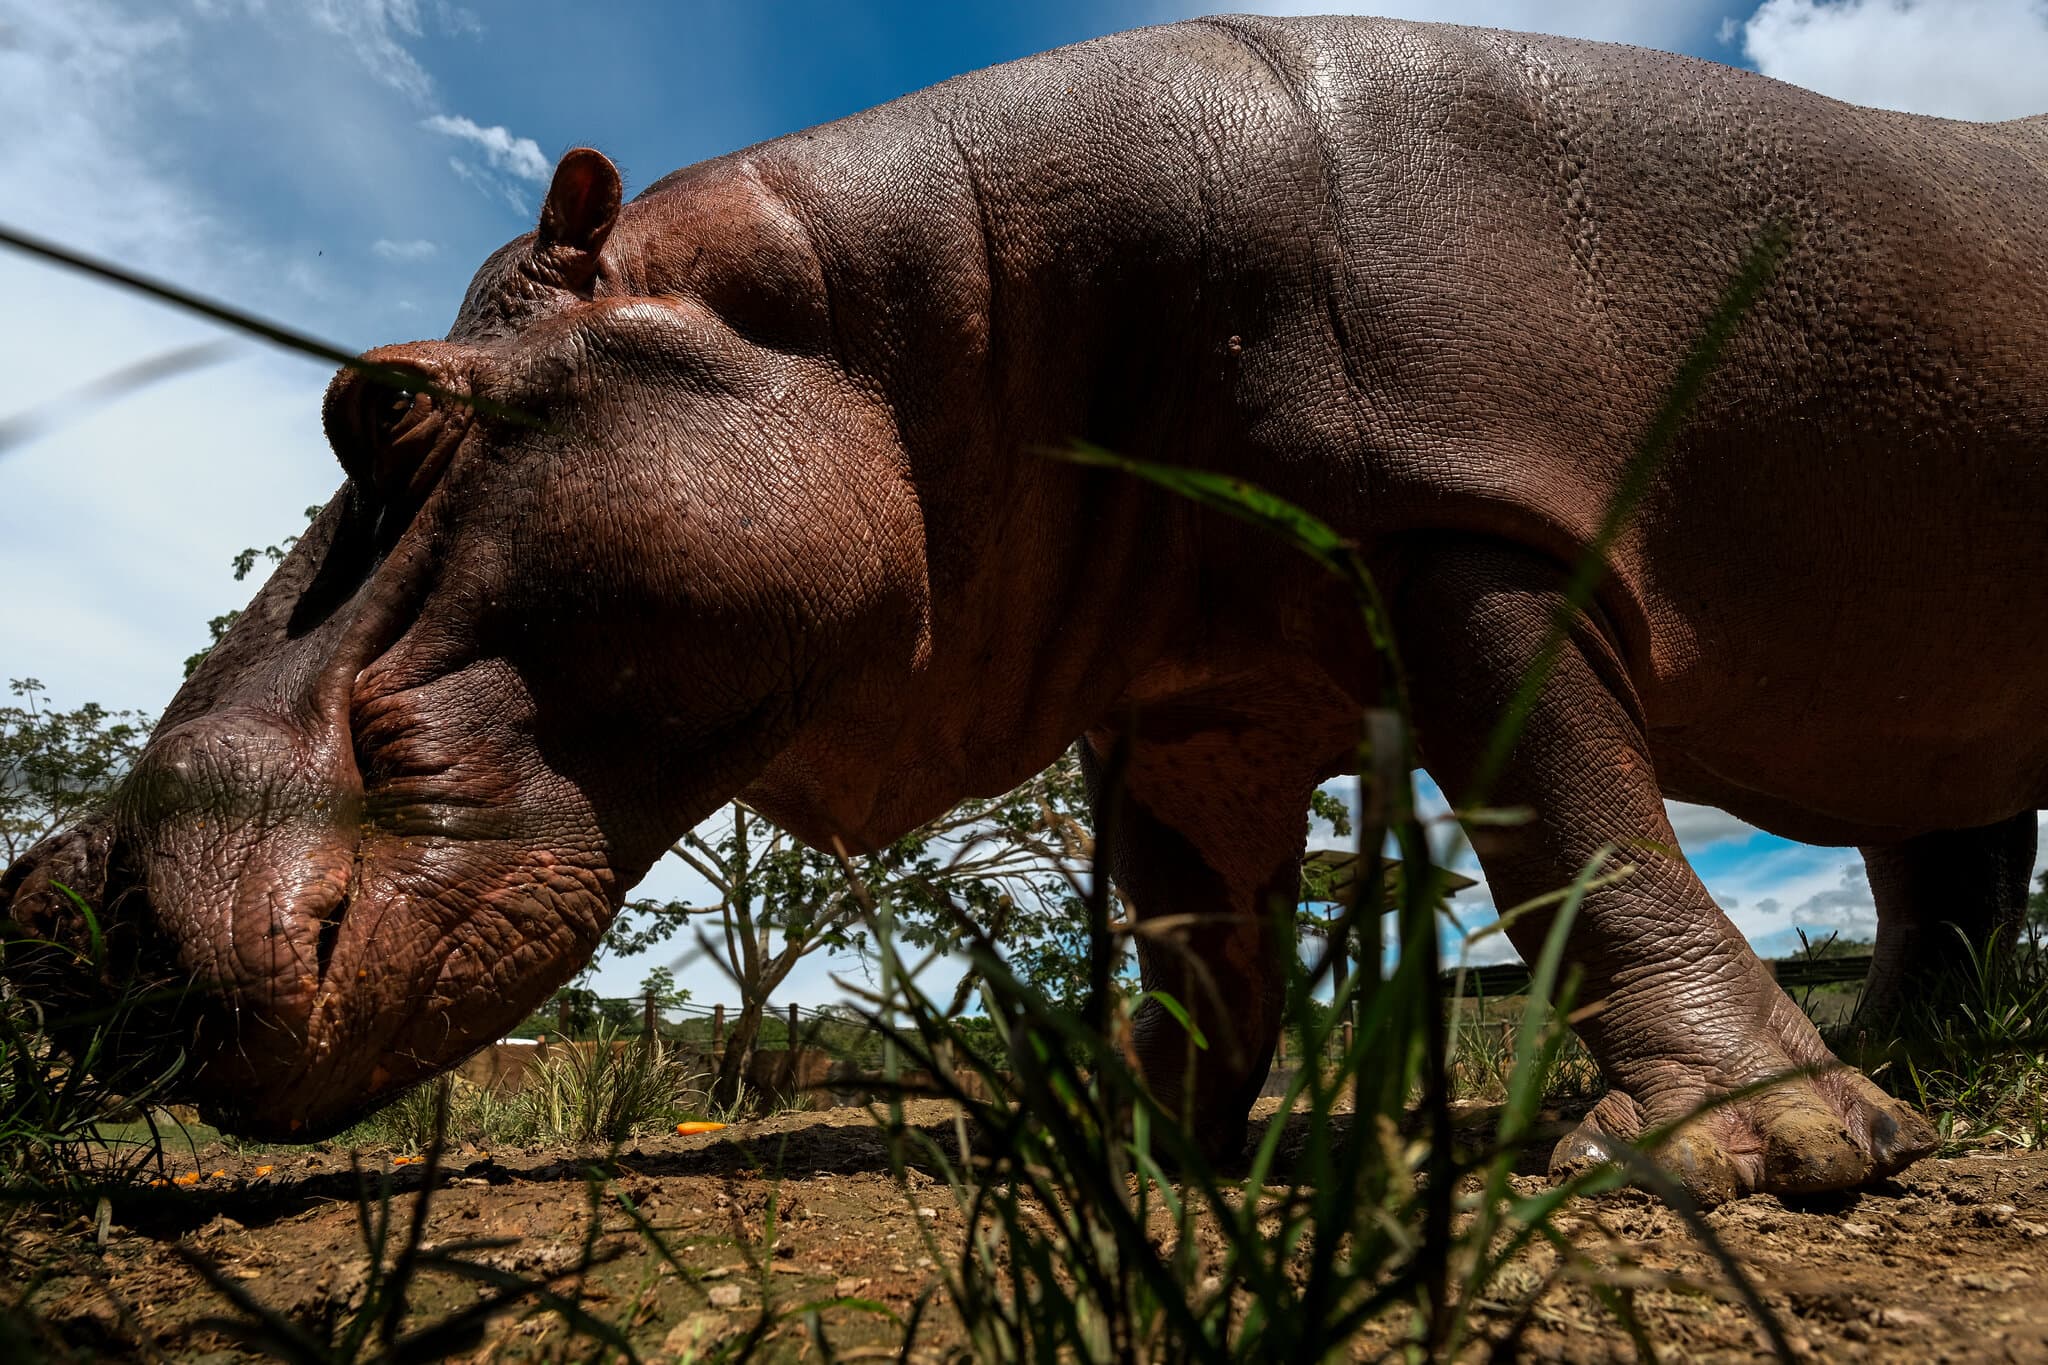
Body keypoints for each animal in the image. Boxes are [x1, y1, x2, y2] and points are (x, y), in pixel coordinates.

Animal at [5, 14, 2045, 1204]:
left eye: (376, 404)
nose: (49, 909)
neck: (899, 317)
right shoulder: (1196, 684)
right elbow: (1198, 927)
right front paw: (1116, 1139)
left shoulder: (1466, 529)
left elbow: (1577, 818)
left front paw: (1750, 1155)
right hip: (1924, 694)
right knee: (1947, 869)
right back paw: (1919, 1065)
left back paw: (1884, 1085)